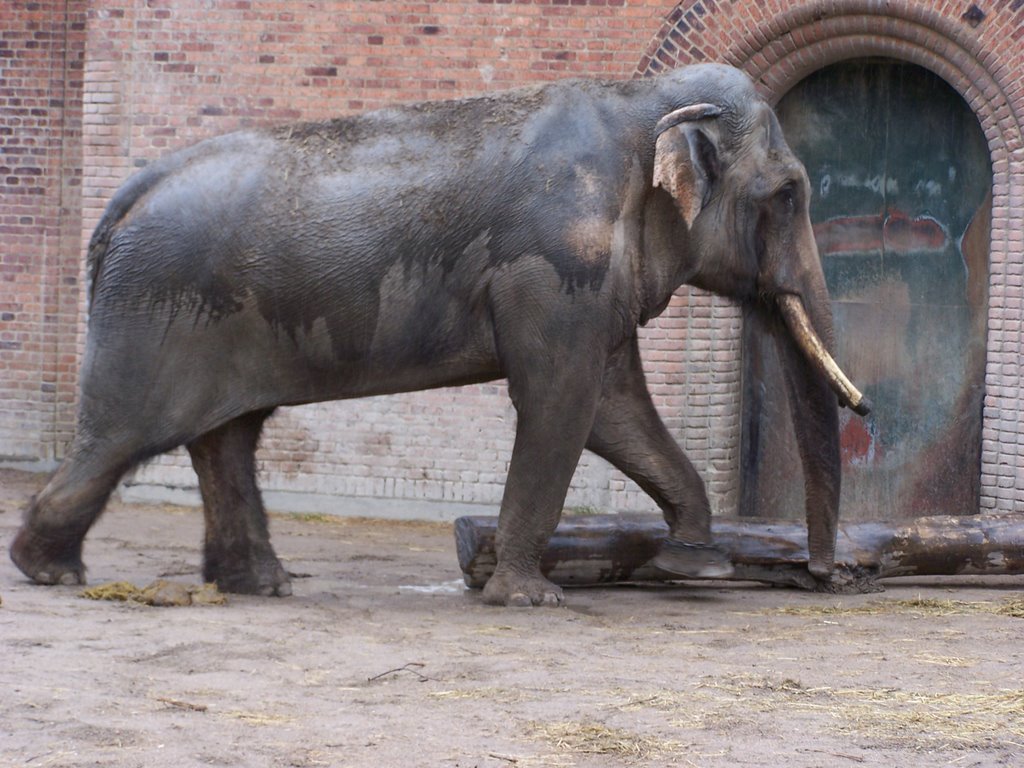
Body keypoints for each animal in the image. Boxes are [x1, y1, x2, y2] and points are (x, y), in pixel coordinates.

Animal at [12, 63, 868, 606]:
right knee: (126, 435)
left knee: (228, 437)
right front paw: (530, 599)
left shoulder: (594, 278)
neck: (640, 100)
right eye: (789, 195)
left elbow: (612, 408)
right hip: (155, 311)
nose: (825, 576)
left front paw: (697, 564)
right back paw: (49, 571)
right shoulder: (554, 264)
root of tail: (128, 194)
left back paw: (260, 586)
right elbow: (561, 402)